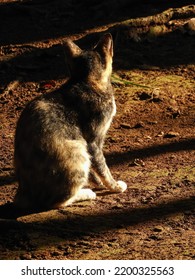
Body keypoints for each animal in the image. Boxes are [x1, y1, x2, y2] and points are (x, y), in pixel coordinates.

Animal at [13, 33, 126, 212]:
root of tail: (22, 194)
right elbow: (102, 166)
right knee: (55, 202)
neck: (84, 80)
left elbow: (94, 168)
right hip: (77, 151)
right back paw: (85, 193)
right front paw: (114, 186)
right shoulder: (93, 141)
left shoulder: (90, 145)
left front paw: (98, 182)